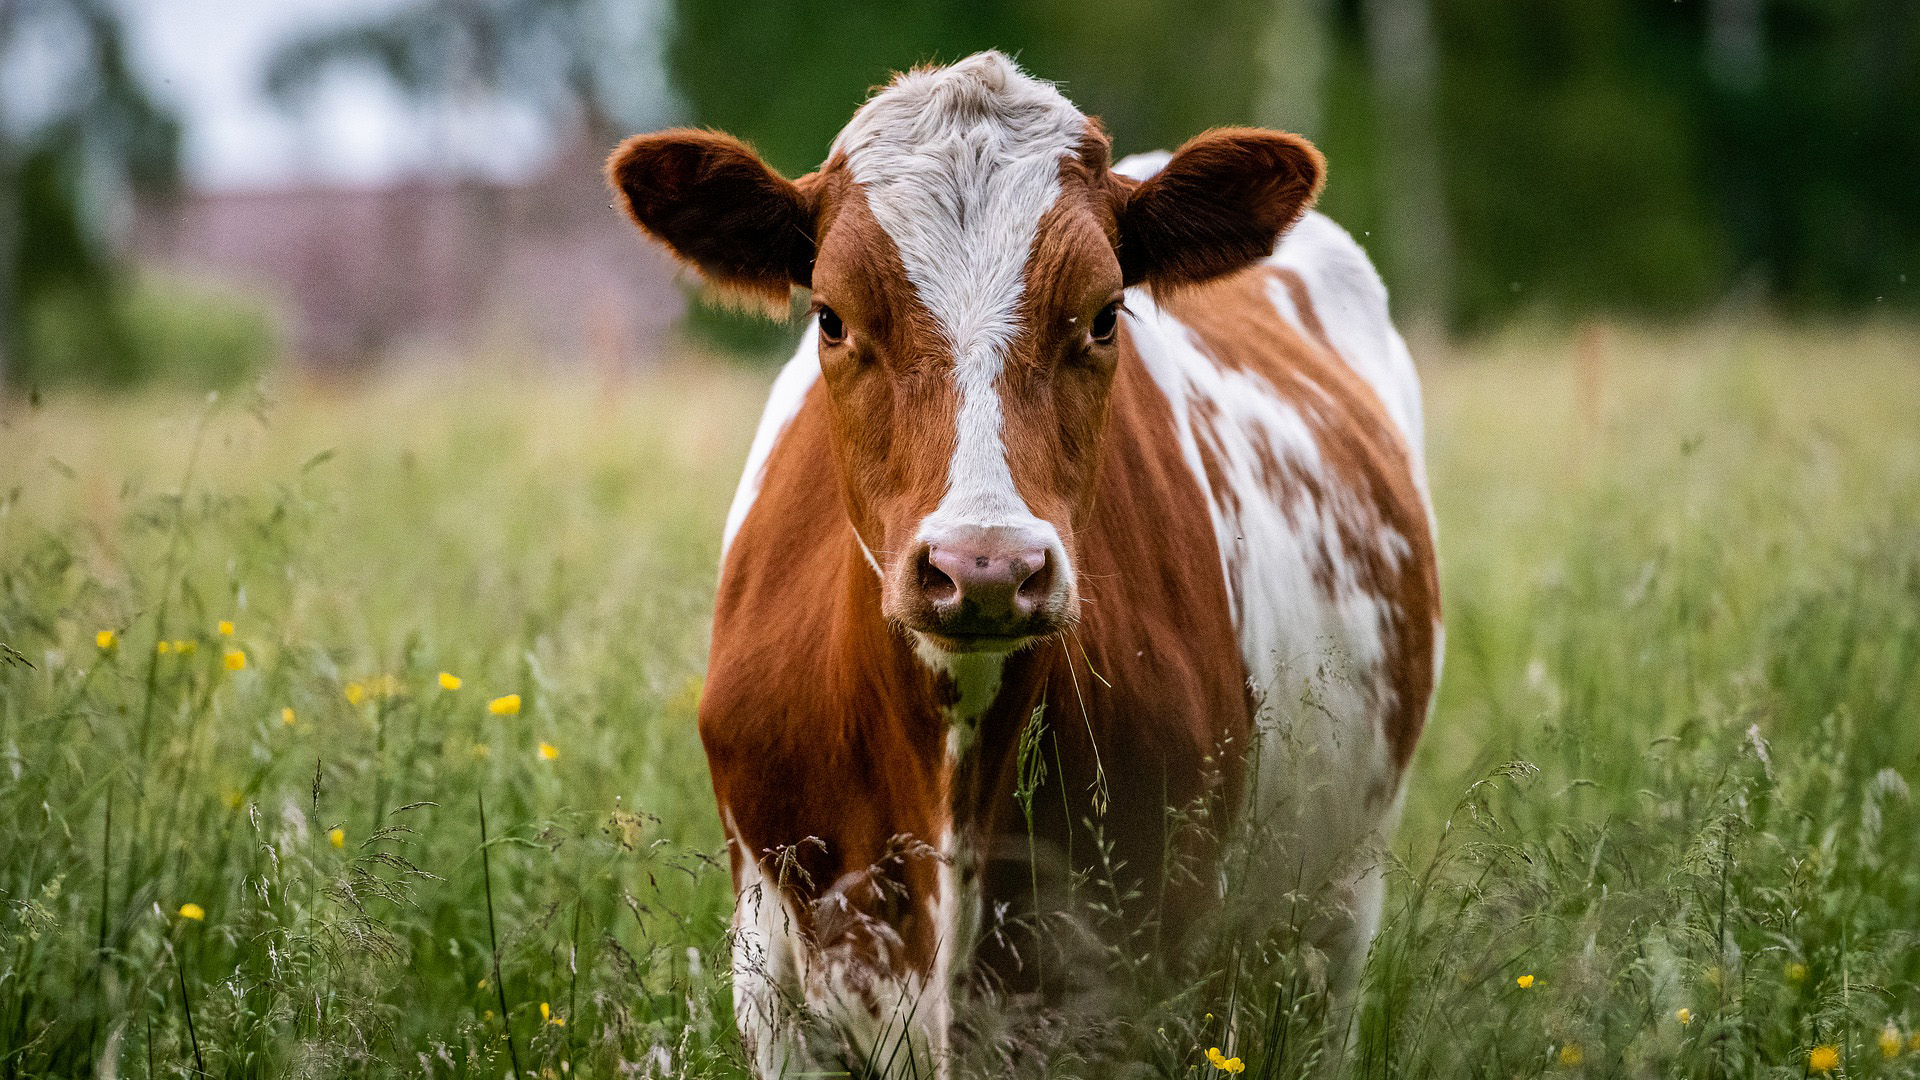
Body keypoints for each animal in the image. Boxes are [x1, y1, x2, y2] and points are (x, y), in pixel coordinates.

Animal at [606, 46, 1436, 1068]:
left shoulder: (1131, 999)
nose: (985, 566)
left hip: (1335, 917)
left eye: (1106, 315)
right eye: (832, 318)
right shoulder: (777, 995)